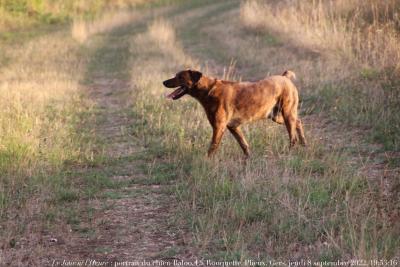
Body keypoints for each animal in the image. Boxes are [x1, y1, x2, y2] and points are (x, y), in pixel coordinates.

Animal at [162, 69, 306, 157]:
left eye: (180, 77)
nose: (164, 82)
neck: (208, 90)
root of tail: (285, 77)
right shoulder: (233, 127)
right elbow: (244, 145)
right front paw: (248, 160)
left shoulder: (219, 127)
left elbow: (212, 148)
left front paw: (206, 162)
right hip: (276, 116)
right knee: (298, 122)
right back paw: (304, 144)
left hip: (287, 114)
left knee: (293, 137)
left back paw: (290, 153)